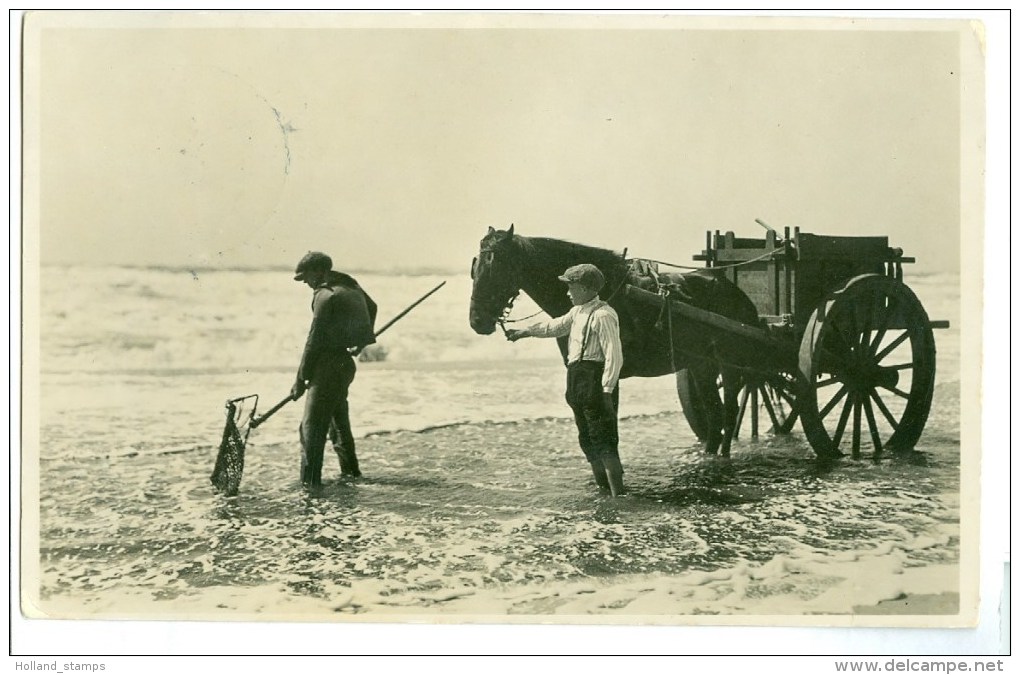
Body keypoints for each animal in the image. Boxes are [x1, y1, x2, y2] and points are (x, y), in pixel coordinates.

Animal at [467, 224, 762, 456]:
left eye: (495, 267)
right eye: (475, 267)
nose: (476, 321)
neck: (603, 295)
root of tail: (734, 291)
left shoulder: (609, 374)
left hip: (730, 366)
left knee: (730, 411)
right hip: (701, 366)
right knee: (716, 415)